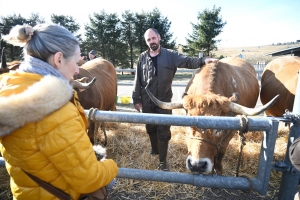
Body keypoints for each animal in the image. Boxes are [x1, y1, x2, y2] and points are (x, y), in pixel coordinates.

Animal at [146, 56, 278, 175]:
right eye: (188, 125)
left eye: (219, 128)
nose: (197, 165)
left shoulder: (230, 132)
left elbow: (220, 152)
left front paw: (218, 170)